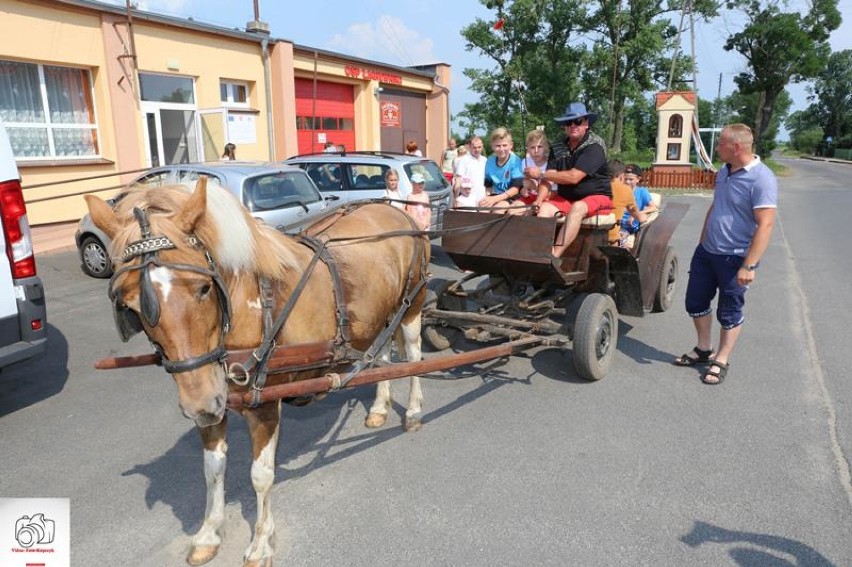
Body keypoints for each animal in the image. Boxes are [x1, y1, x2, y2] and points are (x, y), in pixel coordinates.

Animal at [85, 179, 430, 567]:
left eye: (203, 288)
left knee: (414, 354)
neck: (251, 307)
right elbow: (212, 469)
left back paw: (413, 411)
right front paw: (209, 533)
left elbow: (260, 476)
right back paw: (380, 408)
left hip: (412, 305)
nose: (201, 402)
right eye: (130, 305)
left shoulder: (264, 404)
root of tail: (392, 209)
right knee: (381, 352)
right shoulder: (213, 405)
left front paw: (262, 542)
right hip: (378, 316)